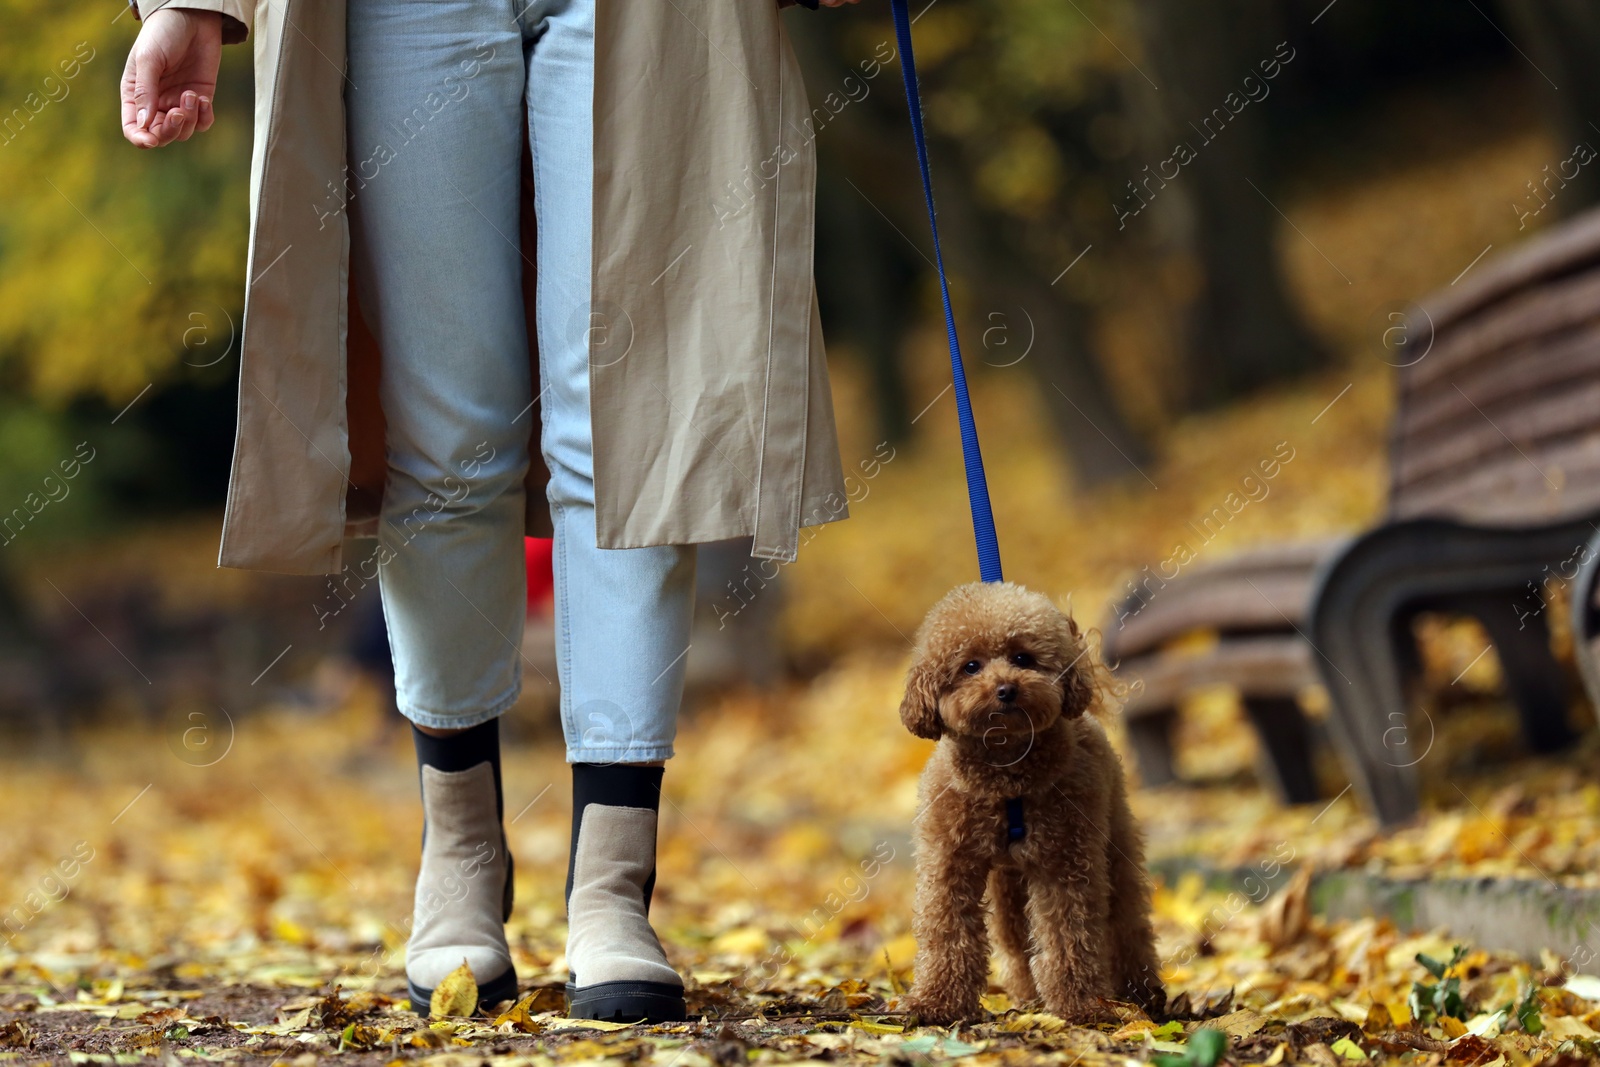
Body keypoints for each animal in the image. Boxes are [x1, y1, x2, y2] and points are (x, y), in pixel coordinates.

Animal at [902, 585, 1164, 1023]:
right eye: (970, 666)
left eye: (1023, 658)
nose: (1006, 689)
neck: (1008, 773)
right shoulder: (949, 859)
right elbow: (947, 928)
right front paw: (937, 1003)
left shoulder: (1066, 862)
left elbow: (1069, 934)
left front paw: (1081, 1005)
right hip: (1009, 886)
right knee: (1016, 937)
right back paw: (1029, 997)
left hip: (1113, 847)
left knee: (1126, 923)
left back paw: (1141, 995)